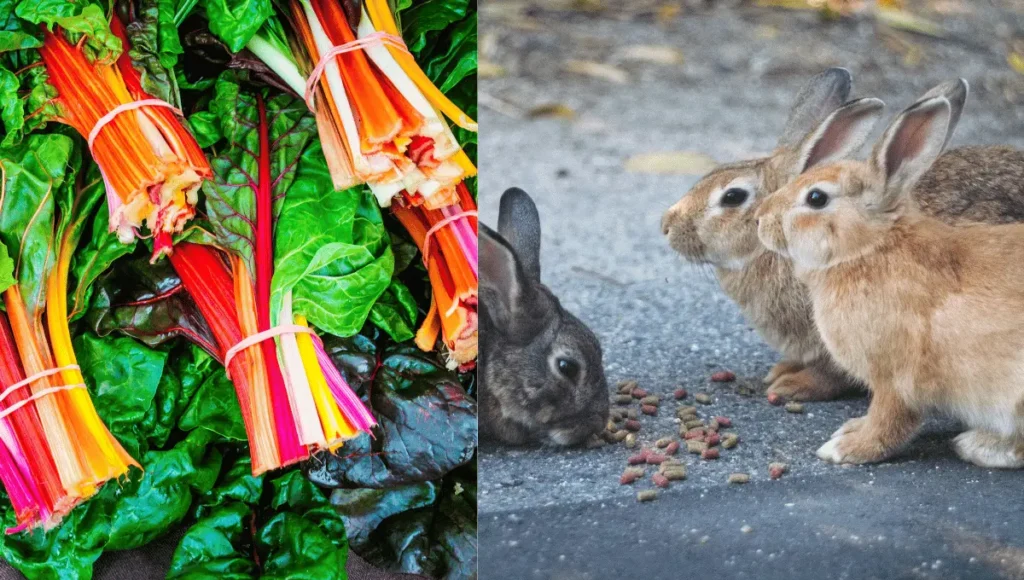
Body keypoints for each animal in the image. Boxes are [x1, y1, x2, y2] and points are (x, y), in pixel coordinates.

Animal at [753, 81, 1024, 471]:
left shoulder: (895, 380)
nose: (760, 219)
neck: (869, 250)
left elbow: (889, 420)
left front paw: (847, 448)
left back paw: (980, 446)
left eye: (816, 198)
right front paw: (851, 429)